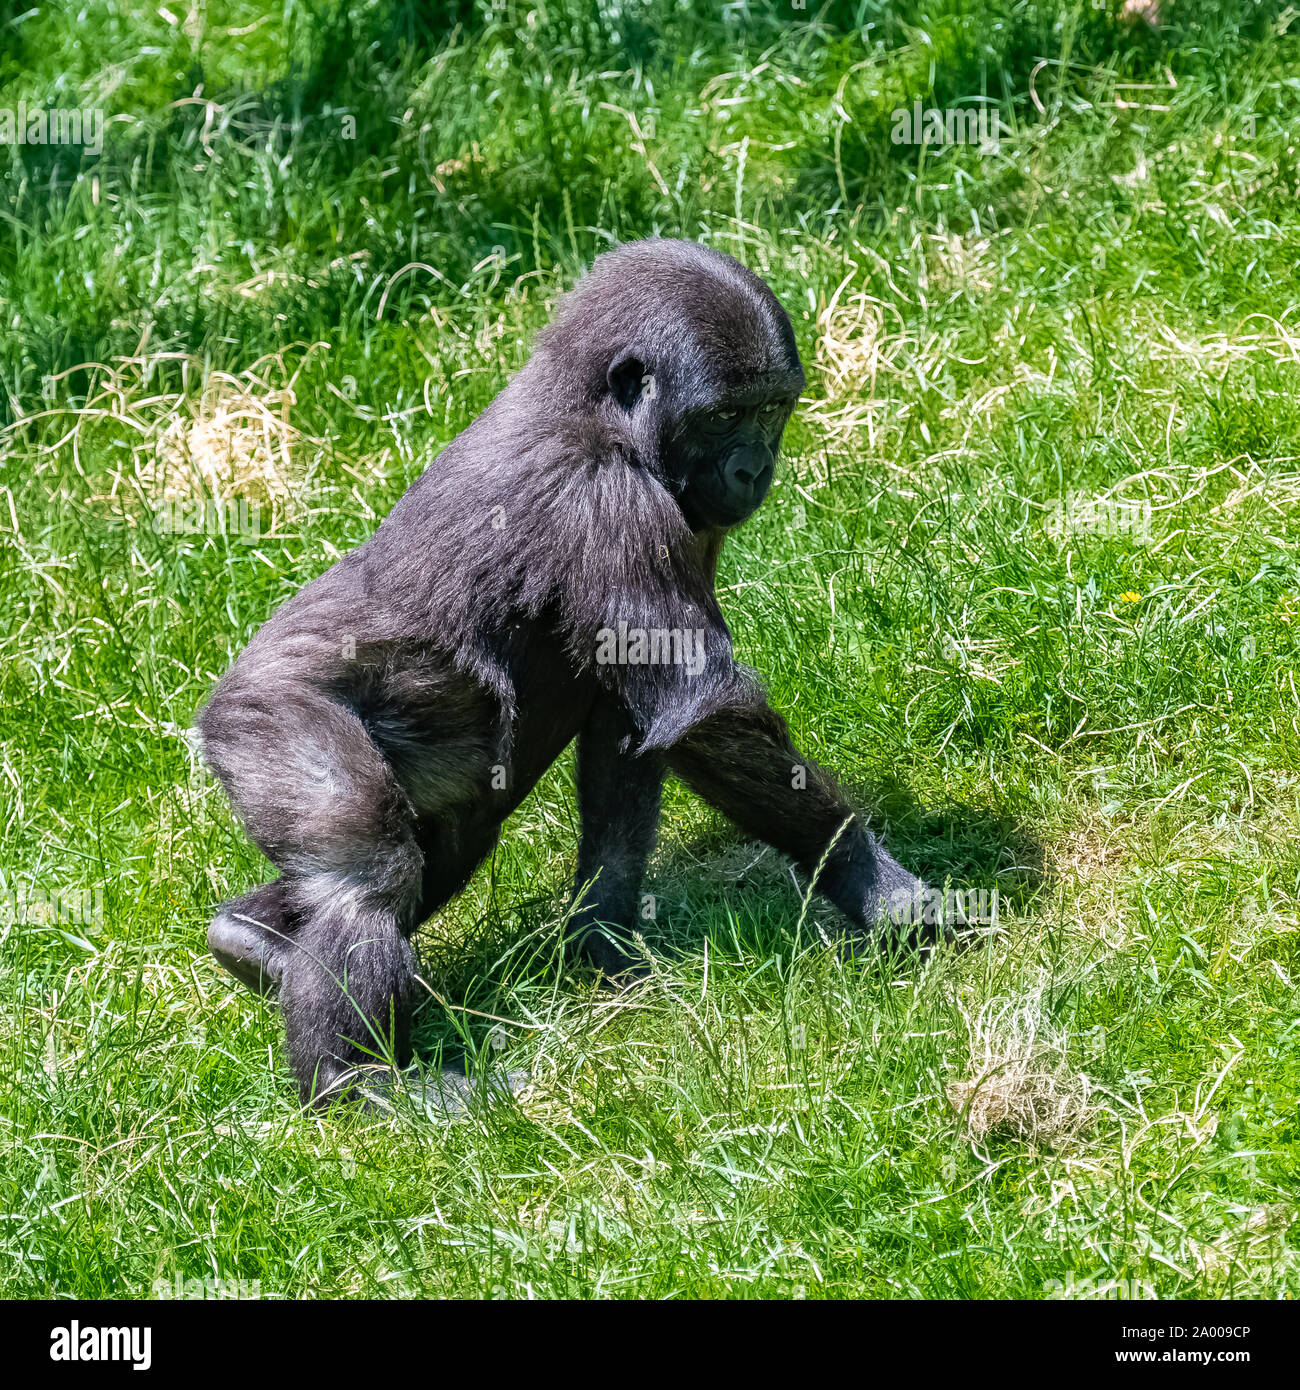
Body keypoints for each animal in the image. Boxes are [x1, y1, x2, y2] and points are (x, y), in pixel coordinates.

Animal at [195, 238, 930, 1107]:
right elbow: (703, 711)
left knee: (441, 842)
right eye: (726, 415)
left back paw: (251, 942)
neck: (592, 407)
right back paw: (354, 1077)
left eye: (774, 408)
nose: (754, 469)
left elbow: (636, 725)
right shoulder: (610, 495)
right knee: (368, 868)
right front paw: (872, 881)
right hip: (268, 716)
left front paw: (602, 940)